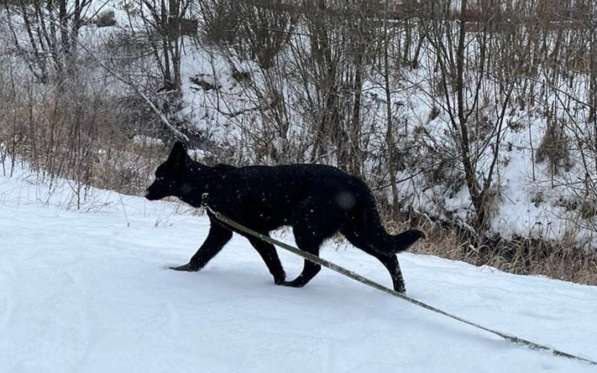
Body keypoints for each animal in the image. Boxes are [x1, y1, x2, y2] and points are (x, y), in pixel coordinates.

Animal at [144, 141, 424, 292]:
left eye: (159, 177)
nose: (146, 192)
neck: (211, 185)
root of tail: (356, 183)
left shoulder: (254, 233)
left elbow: (272, 261)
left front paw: (279, 282)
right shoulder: (222, 231)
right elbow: (200, 255)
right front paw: (182, 270)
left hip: (306, 228)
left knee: (314, 265)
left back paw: (293, 286)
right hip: (358, 232)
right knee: (389, 256)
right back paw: (400, 290)